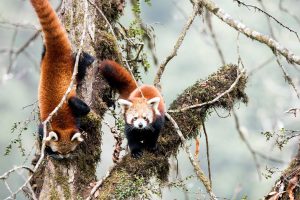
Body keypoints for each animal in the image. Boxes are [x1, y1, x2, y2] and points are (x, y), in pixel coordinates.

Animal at [31, 0, 94, 159]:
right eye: (59, 152)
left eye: (70, 151)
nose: (64, 157)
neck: (63, 124)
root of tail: (57, 55)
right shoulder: (45, 126)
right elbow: (41, 133)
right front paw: (47, 151)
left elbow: (84, 108)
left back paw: (88, 59)